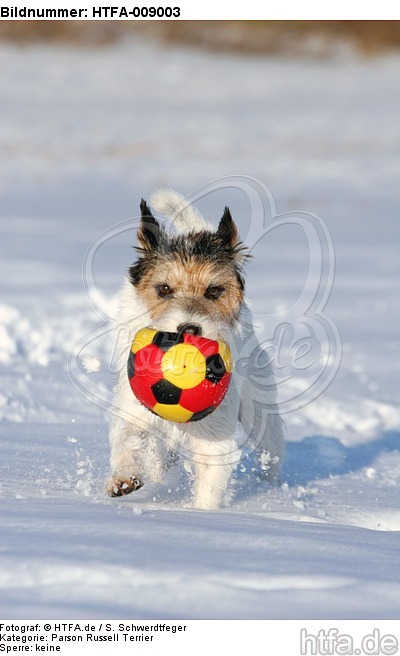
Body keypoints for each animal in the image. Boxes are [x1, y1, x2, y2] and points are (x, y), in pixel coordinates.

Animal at [104, 192, 282, 510]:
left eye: (214, 291)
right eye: (164, 289)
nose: (189, 328)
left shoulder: (215, 436)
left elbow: (210, 479)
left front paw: (200, 515)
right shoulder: (134, 407)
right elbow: (128, 437)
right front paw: (123, 478)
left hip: (260, 409)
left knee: (270, 446)